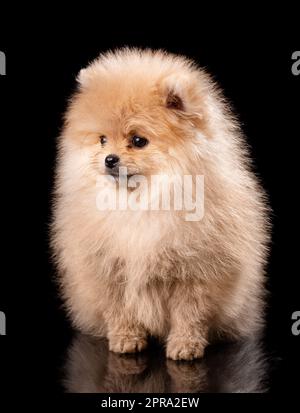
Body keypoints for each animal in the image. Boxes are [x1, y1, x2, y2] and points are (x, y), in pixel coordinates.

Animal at [51, 47, 270, 358]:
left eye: (138, 140)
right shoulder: (107, 268)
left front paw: (185, 345)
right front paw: (126, 338)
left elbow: (190, 312)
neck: (139, 202)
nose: (109, 159)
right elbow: (118, 309)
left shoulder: (196, 270)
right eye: (102, 140)